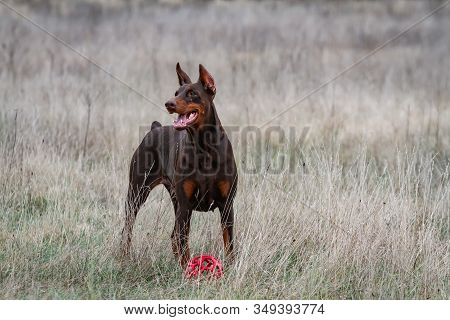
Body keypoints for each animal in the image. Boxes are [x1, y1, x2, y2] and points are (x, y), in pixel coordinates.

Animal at [119, 62, 239, 268]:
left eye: (192, 93)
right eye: (176, 92)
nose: (169, 103)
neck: (204, 147)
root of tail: (155, 128)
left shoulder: (226, 204)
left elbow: (228, 242)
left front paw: (230, 267)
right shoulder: (185, 205)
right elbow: (184, 241)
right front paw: (186, 269)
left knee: (173, 235)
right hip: (137, 192)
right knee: (129, 227)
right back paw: (124, 256)